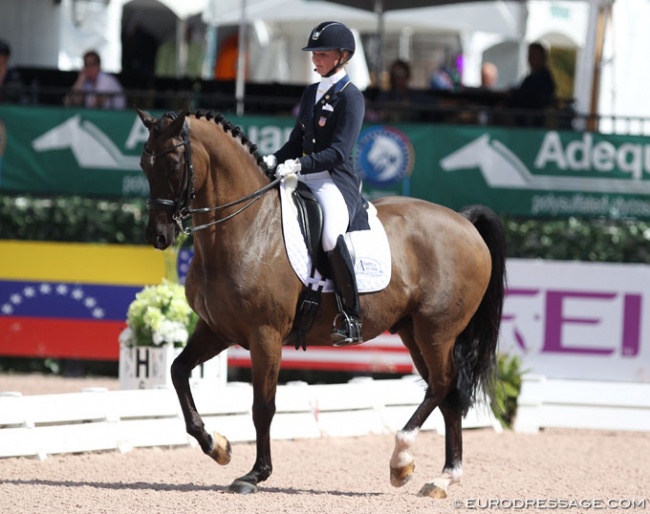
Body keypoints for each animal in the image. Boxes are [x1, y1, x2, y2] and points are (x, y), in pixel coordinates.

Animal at [135, 108, 506, 496]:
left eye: (173, 164)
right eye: (145, 163)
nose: (157, 236)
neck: (247, 227)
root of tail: (465, 222)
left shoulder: (265, 335)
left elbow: (263, 406)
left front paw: (255, 474)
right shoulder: (217, 330)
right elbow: (178, 371)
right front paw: (217, 446)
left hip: (437, 331)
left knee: (442, 384)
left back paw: (401, 460)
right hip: (413, 332)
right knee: (445, 393)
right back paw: (443, 477)